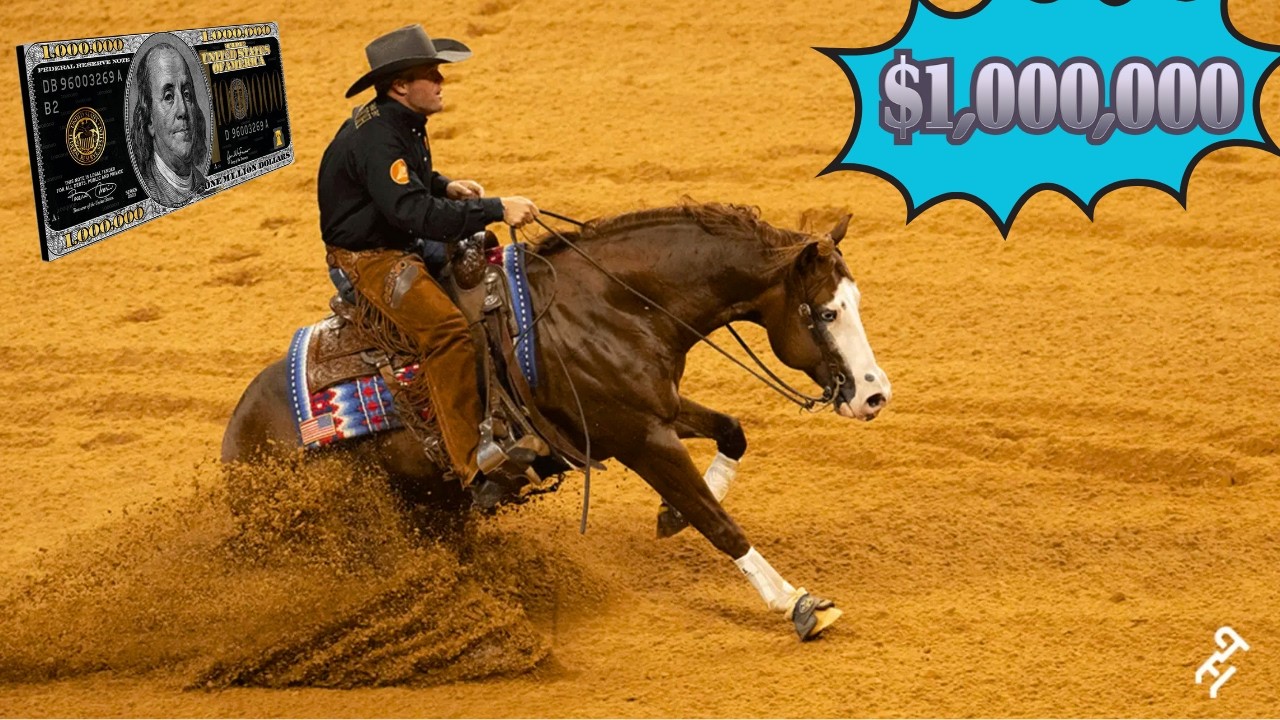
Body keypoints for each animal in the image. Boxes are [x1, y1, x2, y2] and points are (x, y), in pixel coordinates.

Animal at [221, 202, 892, 640]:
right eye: (825, 312)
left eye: (855, 302)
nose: (875, 395)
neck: (612, 304)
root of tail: (236, 440)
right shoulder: (640, 437)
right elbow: (718, 523)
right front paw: (799, 602)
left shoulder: (656, 411)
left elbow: (732, 432)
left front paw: (670, 515)